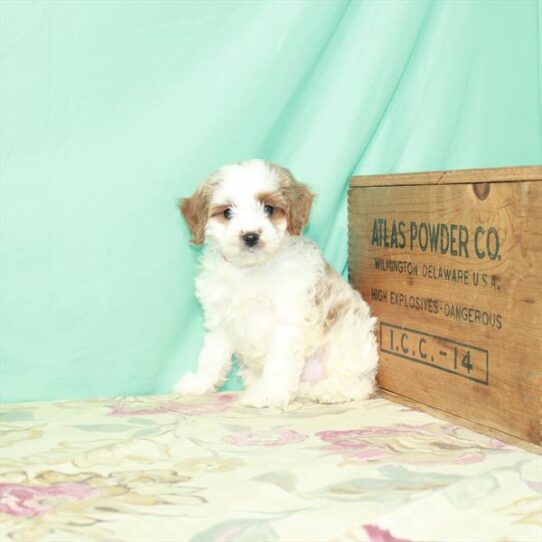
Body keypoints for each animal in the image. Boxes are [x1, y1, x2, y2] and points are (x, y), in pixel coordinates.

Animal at [174, 158, 378, 408]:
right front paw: (199, 384)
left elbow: (280, 362)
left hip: (346, 340)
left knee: (358, 383)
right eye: (227, 212)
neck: (251, 270)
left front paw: (269, 394)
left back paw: (330, 390)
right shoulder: (220, 320)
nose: (251, 236)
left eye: (268, 209)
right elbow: (212, 356)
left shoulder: (287, 321)